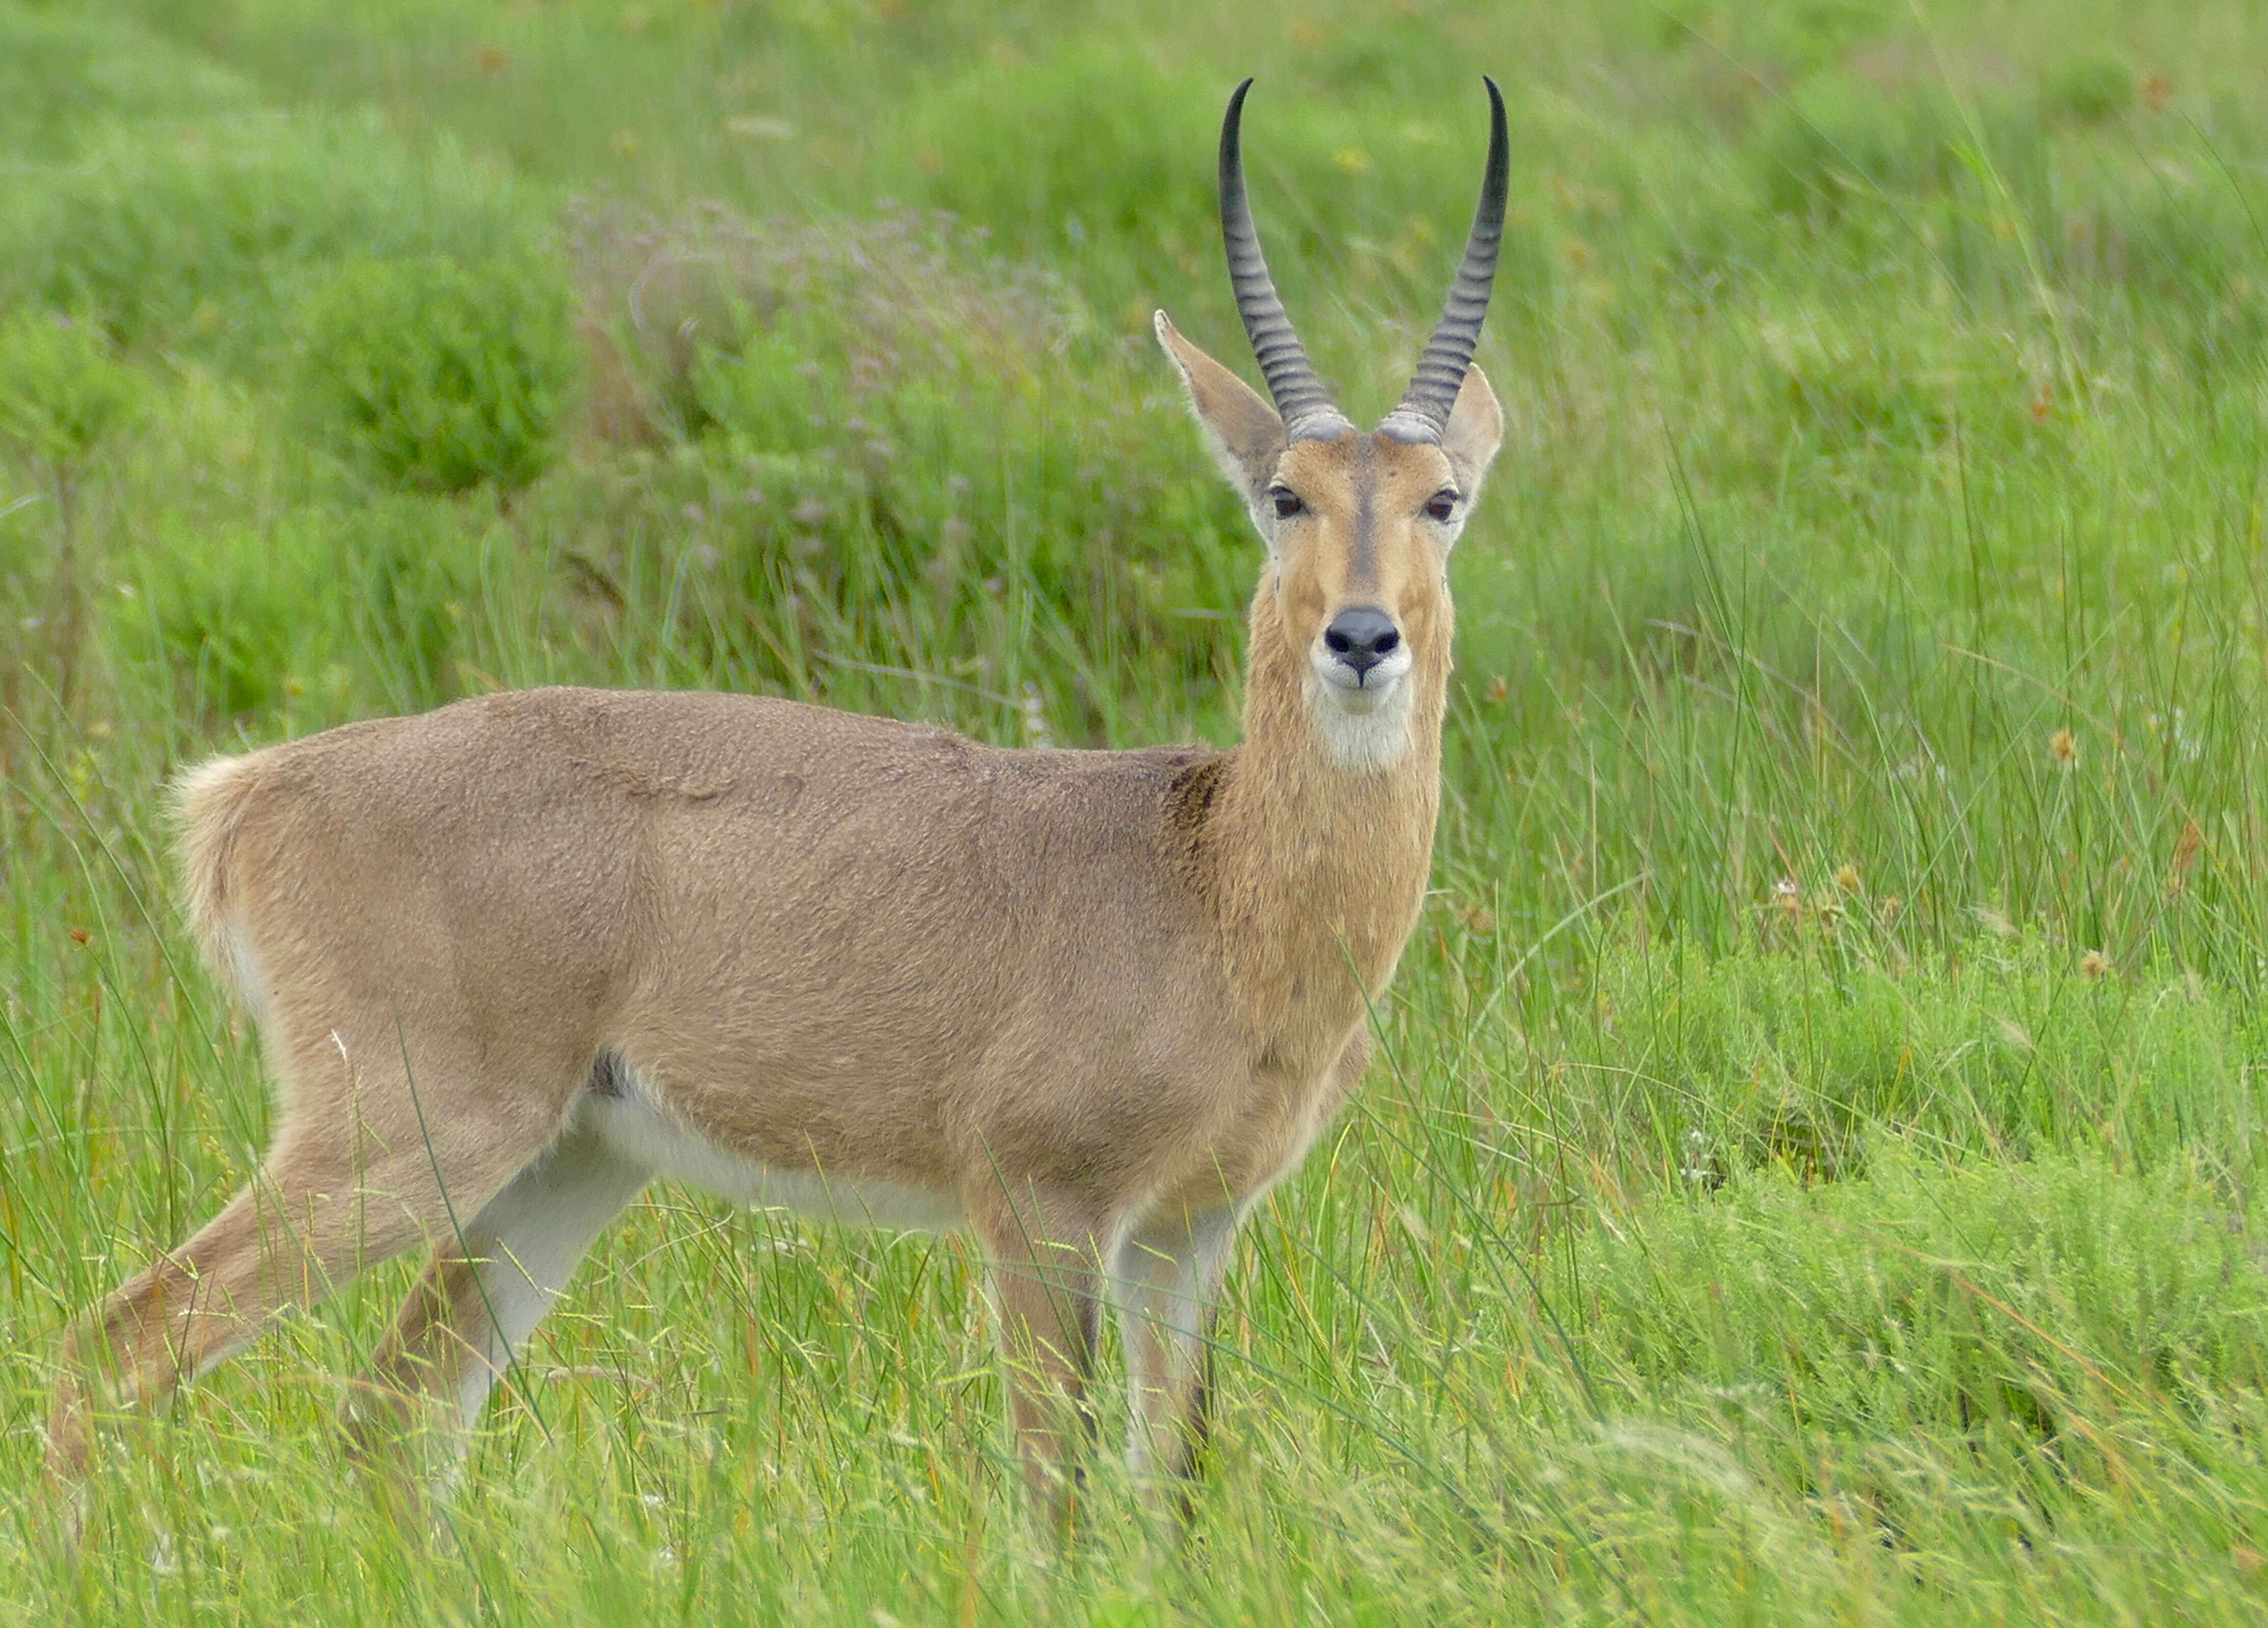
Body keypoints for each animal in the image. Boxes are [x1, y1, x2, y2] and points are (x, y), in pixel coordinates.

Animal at [44, 77, 1506, 1533]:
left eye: (1442, 498)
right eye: (1284, 495)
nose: (1362, 638)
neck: (1217, 885)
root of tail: (250, 790)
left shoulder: (1189, 1232)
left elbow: (1175, 1492)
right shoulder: (1041, 1208)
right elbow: (1054, 1494)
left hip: (569, 1163)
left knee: (393, 1418)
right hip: (410, 1138)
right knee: (118, 1346)